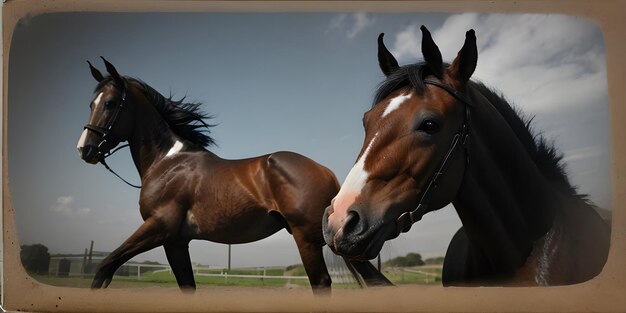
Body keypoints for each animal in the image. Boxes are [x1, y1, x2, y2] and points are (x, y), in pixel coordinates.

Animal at [75, 58, 388, 292]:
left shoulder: (158, 227)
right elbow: (186, 286)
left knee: (322, 283)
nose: (85, 150)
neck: (168, 163)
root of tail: (325, 171)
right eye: (91, 104)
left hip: (307, 238)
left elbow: (104, 268)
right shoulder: (175, 241)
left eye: (110, 103)